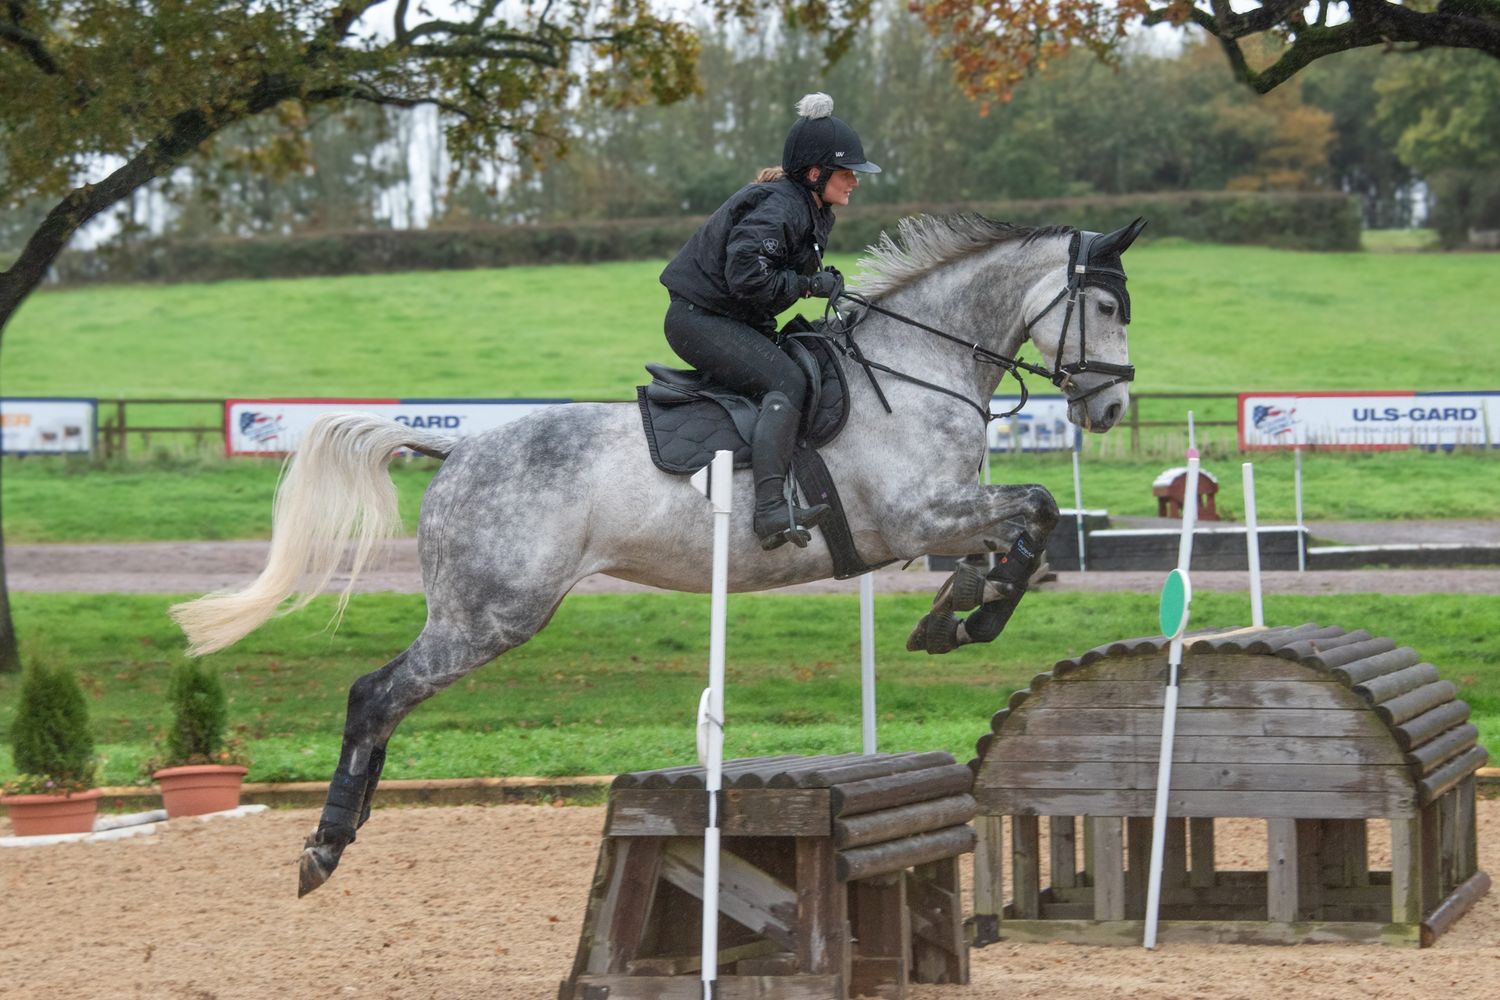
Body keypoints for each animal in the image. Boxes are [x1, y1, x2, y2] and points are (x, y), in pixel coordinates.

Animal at [169, 213, 1146, 896]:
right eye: (1105, 307)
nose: (1108, 411)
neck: (915, 369)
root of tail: (458, 448)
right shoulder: (915, 518)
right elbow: (1037, 508)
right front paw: (972, 615)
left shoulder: (942, 519)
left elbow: (1017, 530)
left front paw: (955, 617)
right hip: (490, 615)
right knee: (376, 695)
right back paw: (326, 844)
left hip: (486, 616)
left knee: (386, 700)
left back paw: (340, 833)